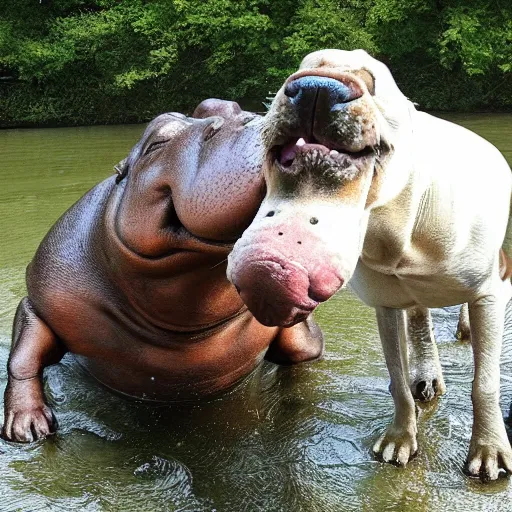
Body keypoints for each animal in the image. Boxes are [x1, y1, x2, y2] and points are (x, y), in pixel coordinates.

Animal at [228, 48, 512, 480]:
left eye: (371, 79)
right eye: (300, 69)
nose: (315, 88)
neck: (394, 226)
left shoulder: (492, 293)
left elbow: (486, 382)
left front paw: (489, 449)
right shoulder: (386, 305)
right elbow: (396, 376)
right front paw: (401, 438)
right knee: (420, 319)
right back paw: (426, 373)